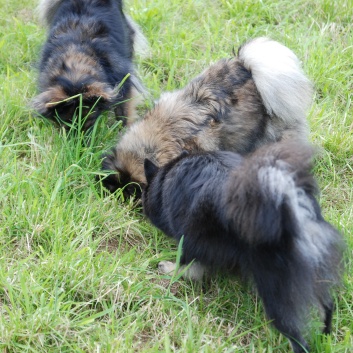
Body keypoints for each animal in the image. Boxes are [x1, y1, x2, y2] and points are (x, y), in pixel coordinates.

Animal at [32, 0, 147, 131]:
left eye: (90, 123)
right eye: (66, 125)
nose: (80, 137)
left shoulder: (122, 78)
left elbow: (124, 109)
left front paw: (124, 130)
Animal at [142, 141, 342, 352]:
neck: (167, 176)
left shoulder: (189, 239)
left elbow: (186, 265)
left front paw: (168, 269)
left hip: (276, 289)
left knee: (297, 338)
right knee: (327, 305)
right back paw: (326, 336)